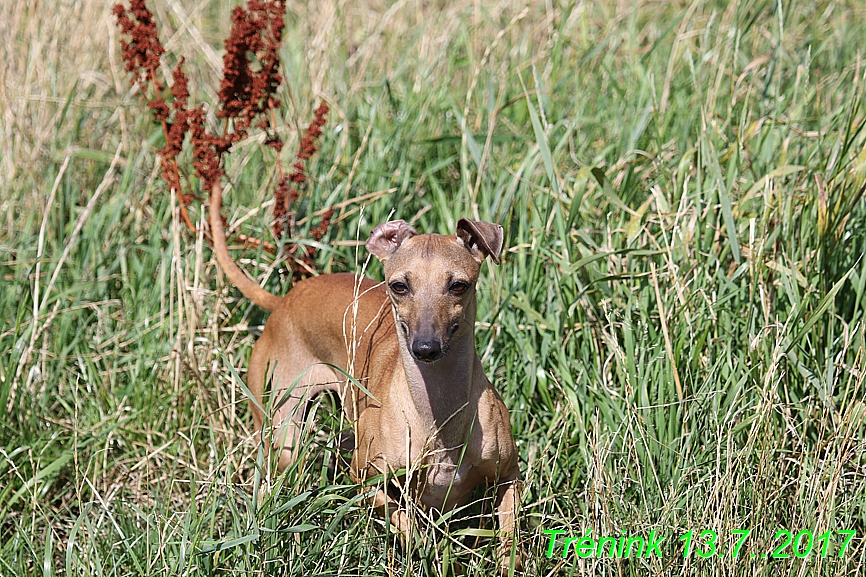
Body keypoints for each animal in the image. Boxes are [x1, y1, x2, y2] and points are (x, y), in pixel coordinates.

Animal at [209, 182, 520, 568]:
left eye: (459, 286)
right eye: (399, 286)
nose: (426, 348)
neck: (439, 415)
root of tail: (284, 300)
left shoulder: (508, 476)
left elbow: (510, 540)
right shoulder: (365, 480)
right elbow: (410, 527)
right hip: (283, 434)